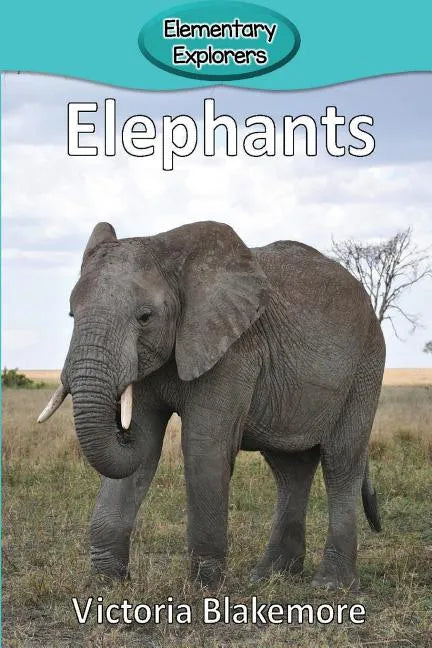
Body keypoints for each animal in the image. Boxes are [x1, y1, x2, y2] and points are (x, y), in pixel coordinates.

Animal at [38, 220, 384, 590]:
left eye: (145, 317)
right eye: (72, 314)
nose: (119, 424)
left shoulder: (233, 350)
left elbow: (203, 446)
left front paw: (204, 587)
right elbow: (144, 448)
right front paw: (107, 583)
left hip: (365, 365)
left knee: (340, 461)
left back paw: (331, 585)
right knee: (290, 469)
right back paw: (267, 577)